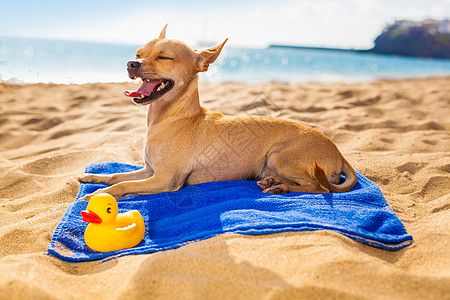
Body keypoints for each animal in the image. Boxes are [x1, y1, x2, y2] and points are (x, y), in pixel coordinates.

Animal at [78, 24, 358, 200]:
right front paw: (94, 177)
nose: (131, 63)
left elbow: (124, 184)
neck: (168, 116)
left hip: (280, 157)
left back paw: (282, 189)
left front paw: (100, 194)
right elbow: (117, 175)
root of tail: (339, 152)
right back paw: (274, 183)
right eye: (138, 54)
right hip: (272, 164)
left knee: (319, 187)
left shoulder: (165, 180)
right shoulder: (149, 171)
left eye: (164, 57)